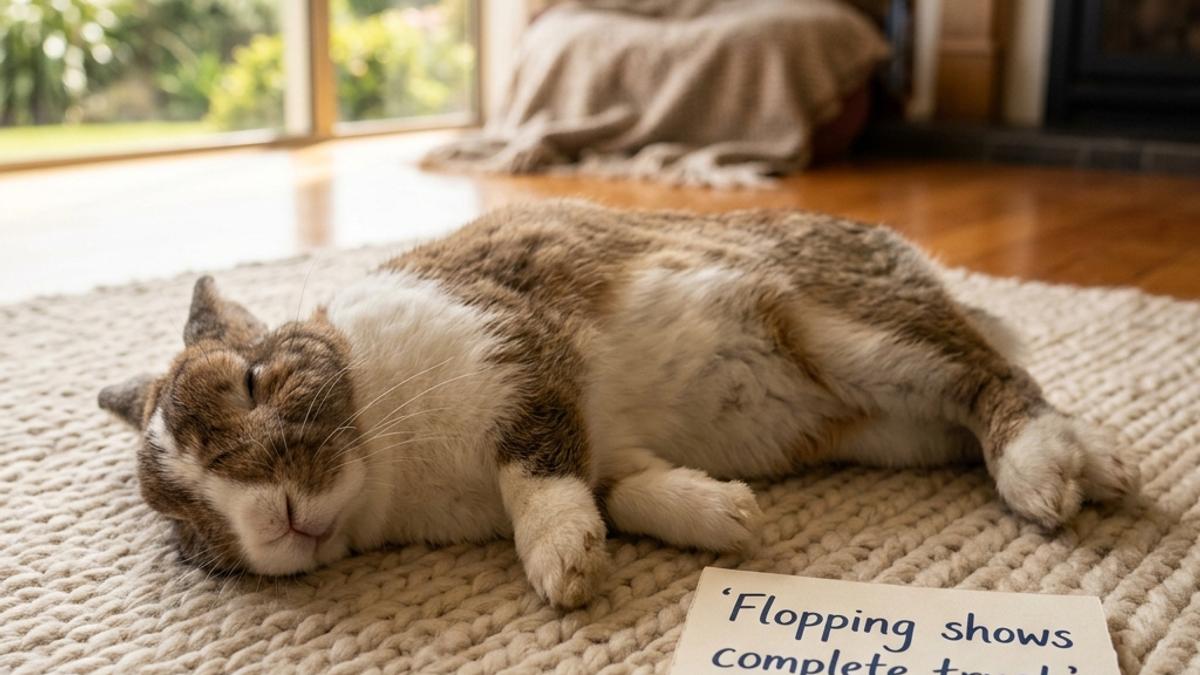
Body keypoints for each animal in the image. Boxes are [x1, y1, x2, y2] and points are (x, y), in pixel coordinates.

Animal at [99, 200, 1139, 608]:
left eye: (252, 381)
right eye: (186, 519)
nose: (270, 516)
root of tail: (907, 261)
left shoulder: (525, 352)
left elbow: (536, 470)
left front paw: (562, 565)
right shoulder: (604, 441)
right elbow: (621, 485)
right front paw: (725, 515)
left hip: (865, 336)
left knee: (991, 377)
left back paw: (1049, 475)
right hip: (894, 426)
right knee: (976, 403)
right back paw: (1106, 466)